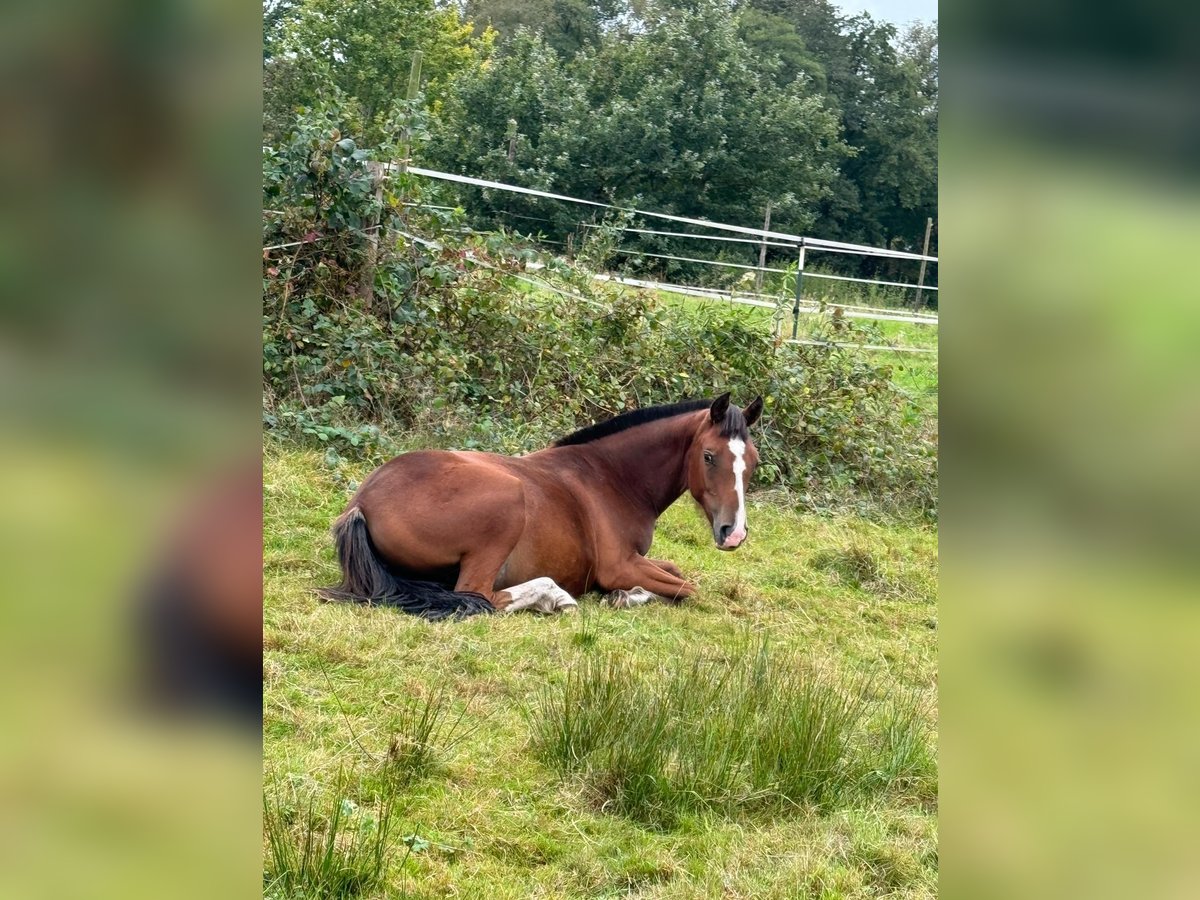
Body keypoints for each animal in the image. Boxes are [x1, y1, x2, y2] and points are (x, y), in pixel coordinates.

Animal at [319, 393, 763, 619]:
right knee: (481, 597)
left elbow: (674, 572)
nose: (734, 533)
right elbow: (688, 587)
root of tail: (361, 504)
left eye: (754, 462)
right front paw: (624, 596)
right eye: (708, 456)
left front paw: (628, 595)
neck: (612, 477)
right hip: (507, 502)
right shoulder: (619, 565)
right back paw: (553, 596)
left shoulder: (638, 560)